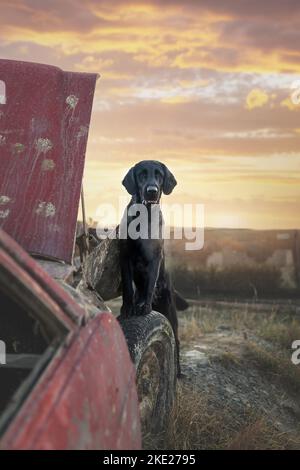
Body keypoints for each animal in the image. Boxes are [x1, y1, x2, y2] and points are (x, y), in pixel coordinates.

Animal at [119, 160, 183, 376]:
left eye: (159, 175)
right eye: (141, 174)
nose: (152, 191)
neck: (144, 216)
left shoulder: (155, 257)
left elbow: (149, 285)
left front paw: (144, 307)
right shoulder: (125, 255)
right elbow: (127, 288)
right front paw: (127, 308)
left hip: (170, 313)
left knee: (176, 341)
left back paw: (178, 372)